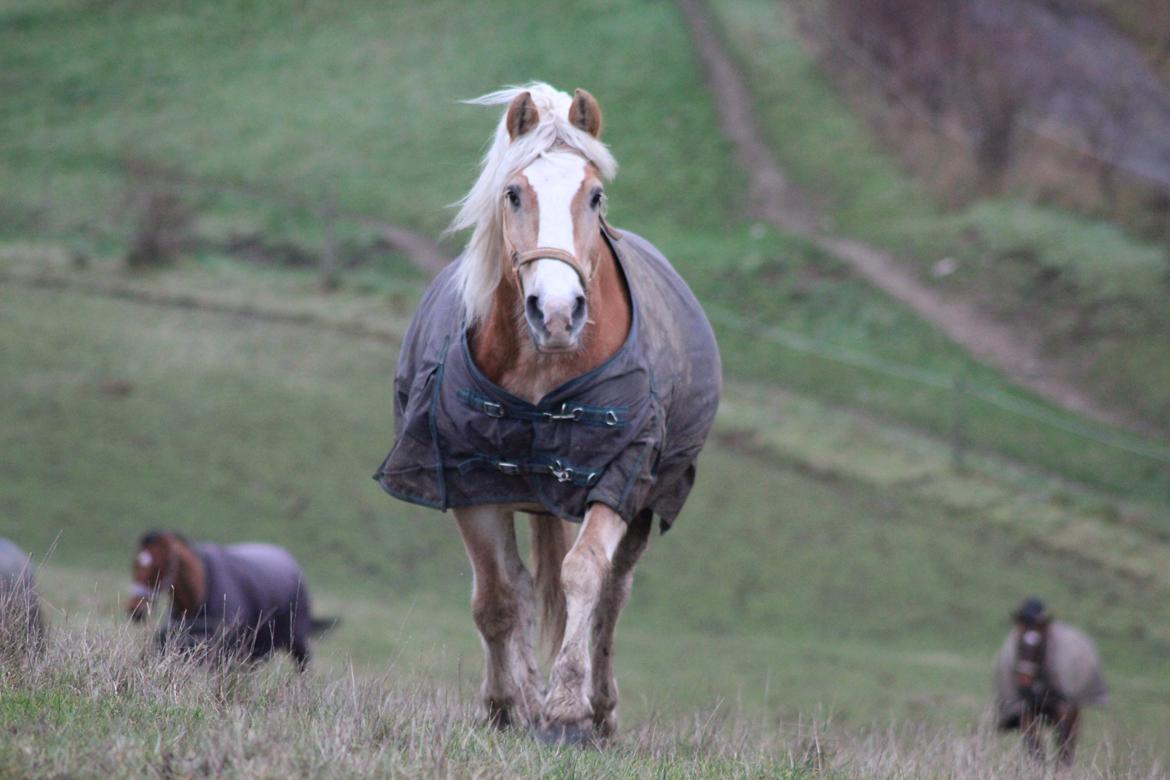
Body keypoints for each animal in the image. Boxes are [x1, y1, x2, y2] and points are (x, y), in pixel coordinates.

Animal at [374, 80, 720, 743]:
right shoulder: (471, 480)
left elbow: (583, 575)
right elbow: (497, 598)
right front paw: (508, 705)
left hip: (644, 502)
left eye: (595, 194)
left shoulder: (617, 476)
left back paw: (601, 710)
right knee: (523, 586)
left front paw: (565, 709)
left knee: (612, 593)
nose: (557, 313)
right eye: (513, 193)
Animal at [992, 603, 1109, 767]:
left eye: (1041, 644)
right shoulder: (1026, 714)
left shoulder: (1063, 711)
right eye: (1018, 640)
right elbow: (1034, 745)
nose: (1024, 680)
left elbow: (1062, 741)